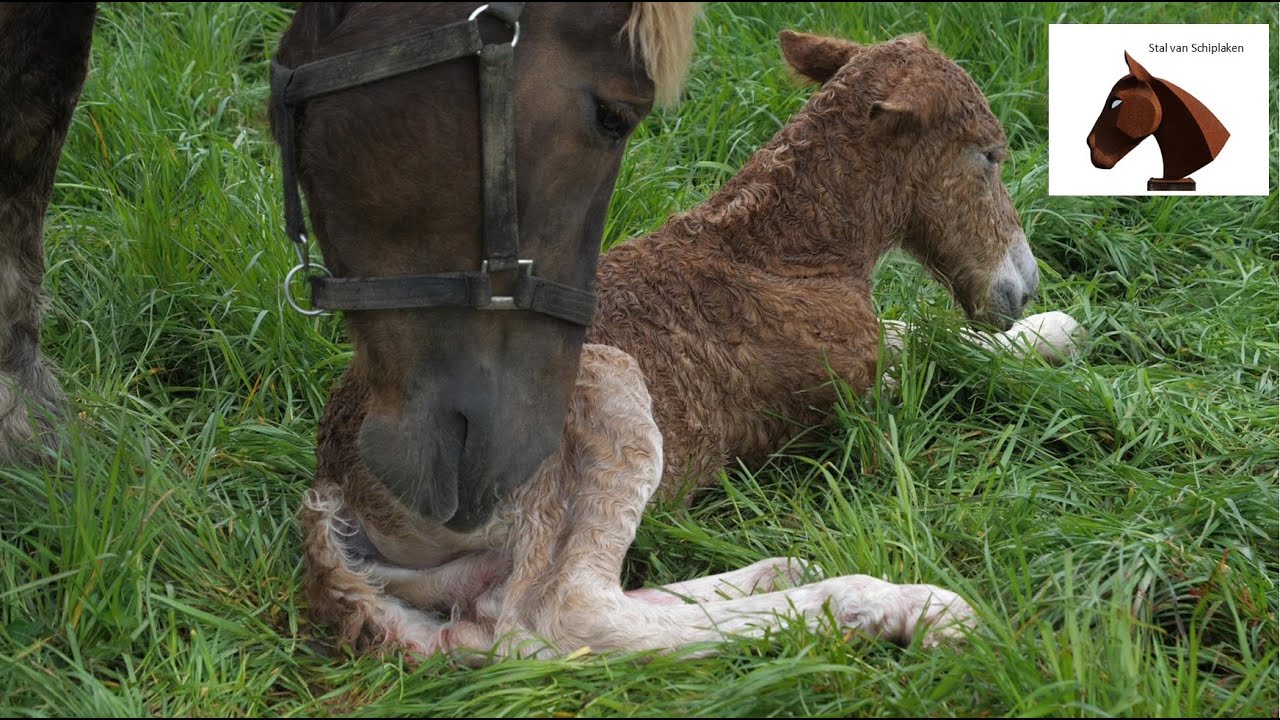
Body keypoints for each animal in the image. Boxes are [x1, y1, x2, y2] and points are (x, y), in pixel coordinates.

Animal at [296, 30, 1071, 661]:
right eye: (989, 156)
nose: (1023, 286)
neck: (784, 249)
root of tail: (334, 480)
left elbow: (921, 333)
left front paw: (1053, 331)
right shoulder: (844, 395)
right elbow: (936, 353)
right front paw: (1049, 333)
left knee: (506, 607)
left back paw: (778, 573)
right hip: (603, 395)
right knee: (565, 616)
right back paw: (894, 604)